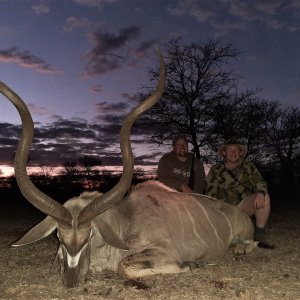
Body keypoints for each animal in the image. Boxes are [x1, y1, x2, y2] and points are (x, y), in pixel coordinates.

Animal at [1, 52, 254, 288]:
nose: (72, 281)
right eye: (59, 237)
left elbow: (125, 266)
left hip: (244, 234)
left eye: (89, 235)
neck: (124, 220)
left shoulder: (162, 252)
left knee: (250, 243)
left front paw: (191, 265)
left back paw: (239, 250)